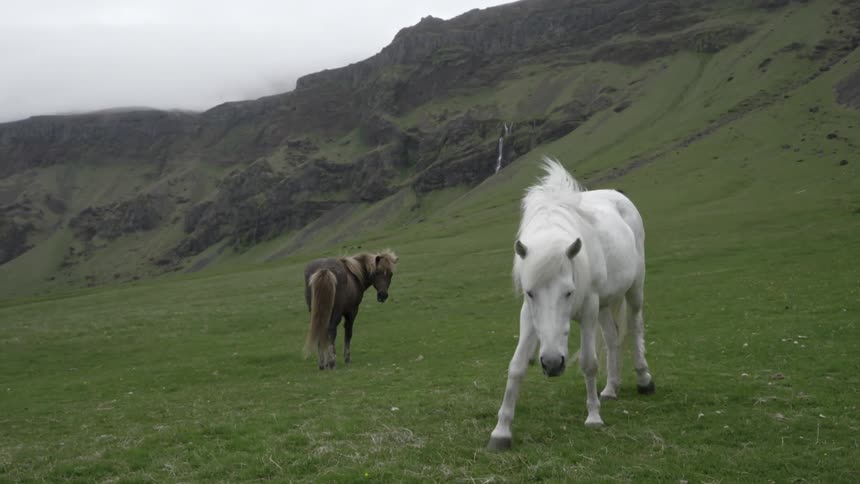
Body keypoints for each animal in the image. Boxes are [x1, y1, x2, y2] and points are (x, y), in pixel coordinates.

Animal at [487, 157, 655, 451]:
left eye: (568, 292)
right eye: (530, 293)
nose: (553, 364)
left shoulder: (588, 308)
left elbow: (589, 362)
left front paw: (594, 417)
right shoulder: (528, 316)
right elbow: (516, 367)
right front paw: (501, 431)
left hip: (634, 290)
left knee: (635, 328)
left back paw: (644, 380)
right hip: (605, 305)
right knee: (613, 340)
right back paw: (611, 388)